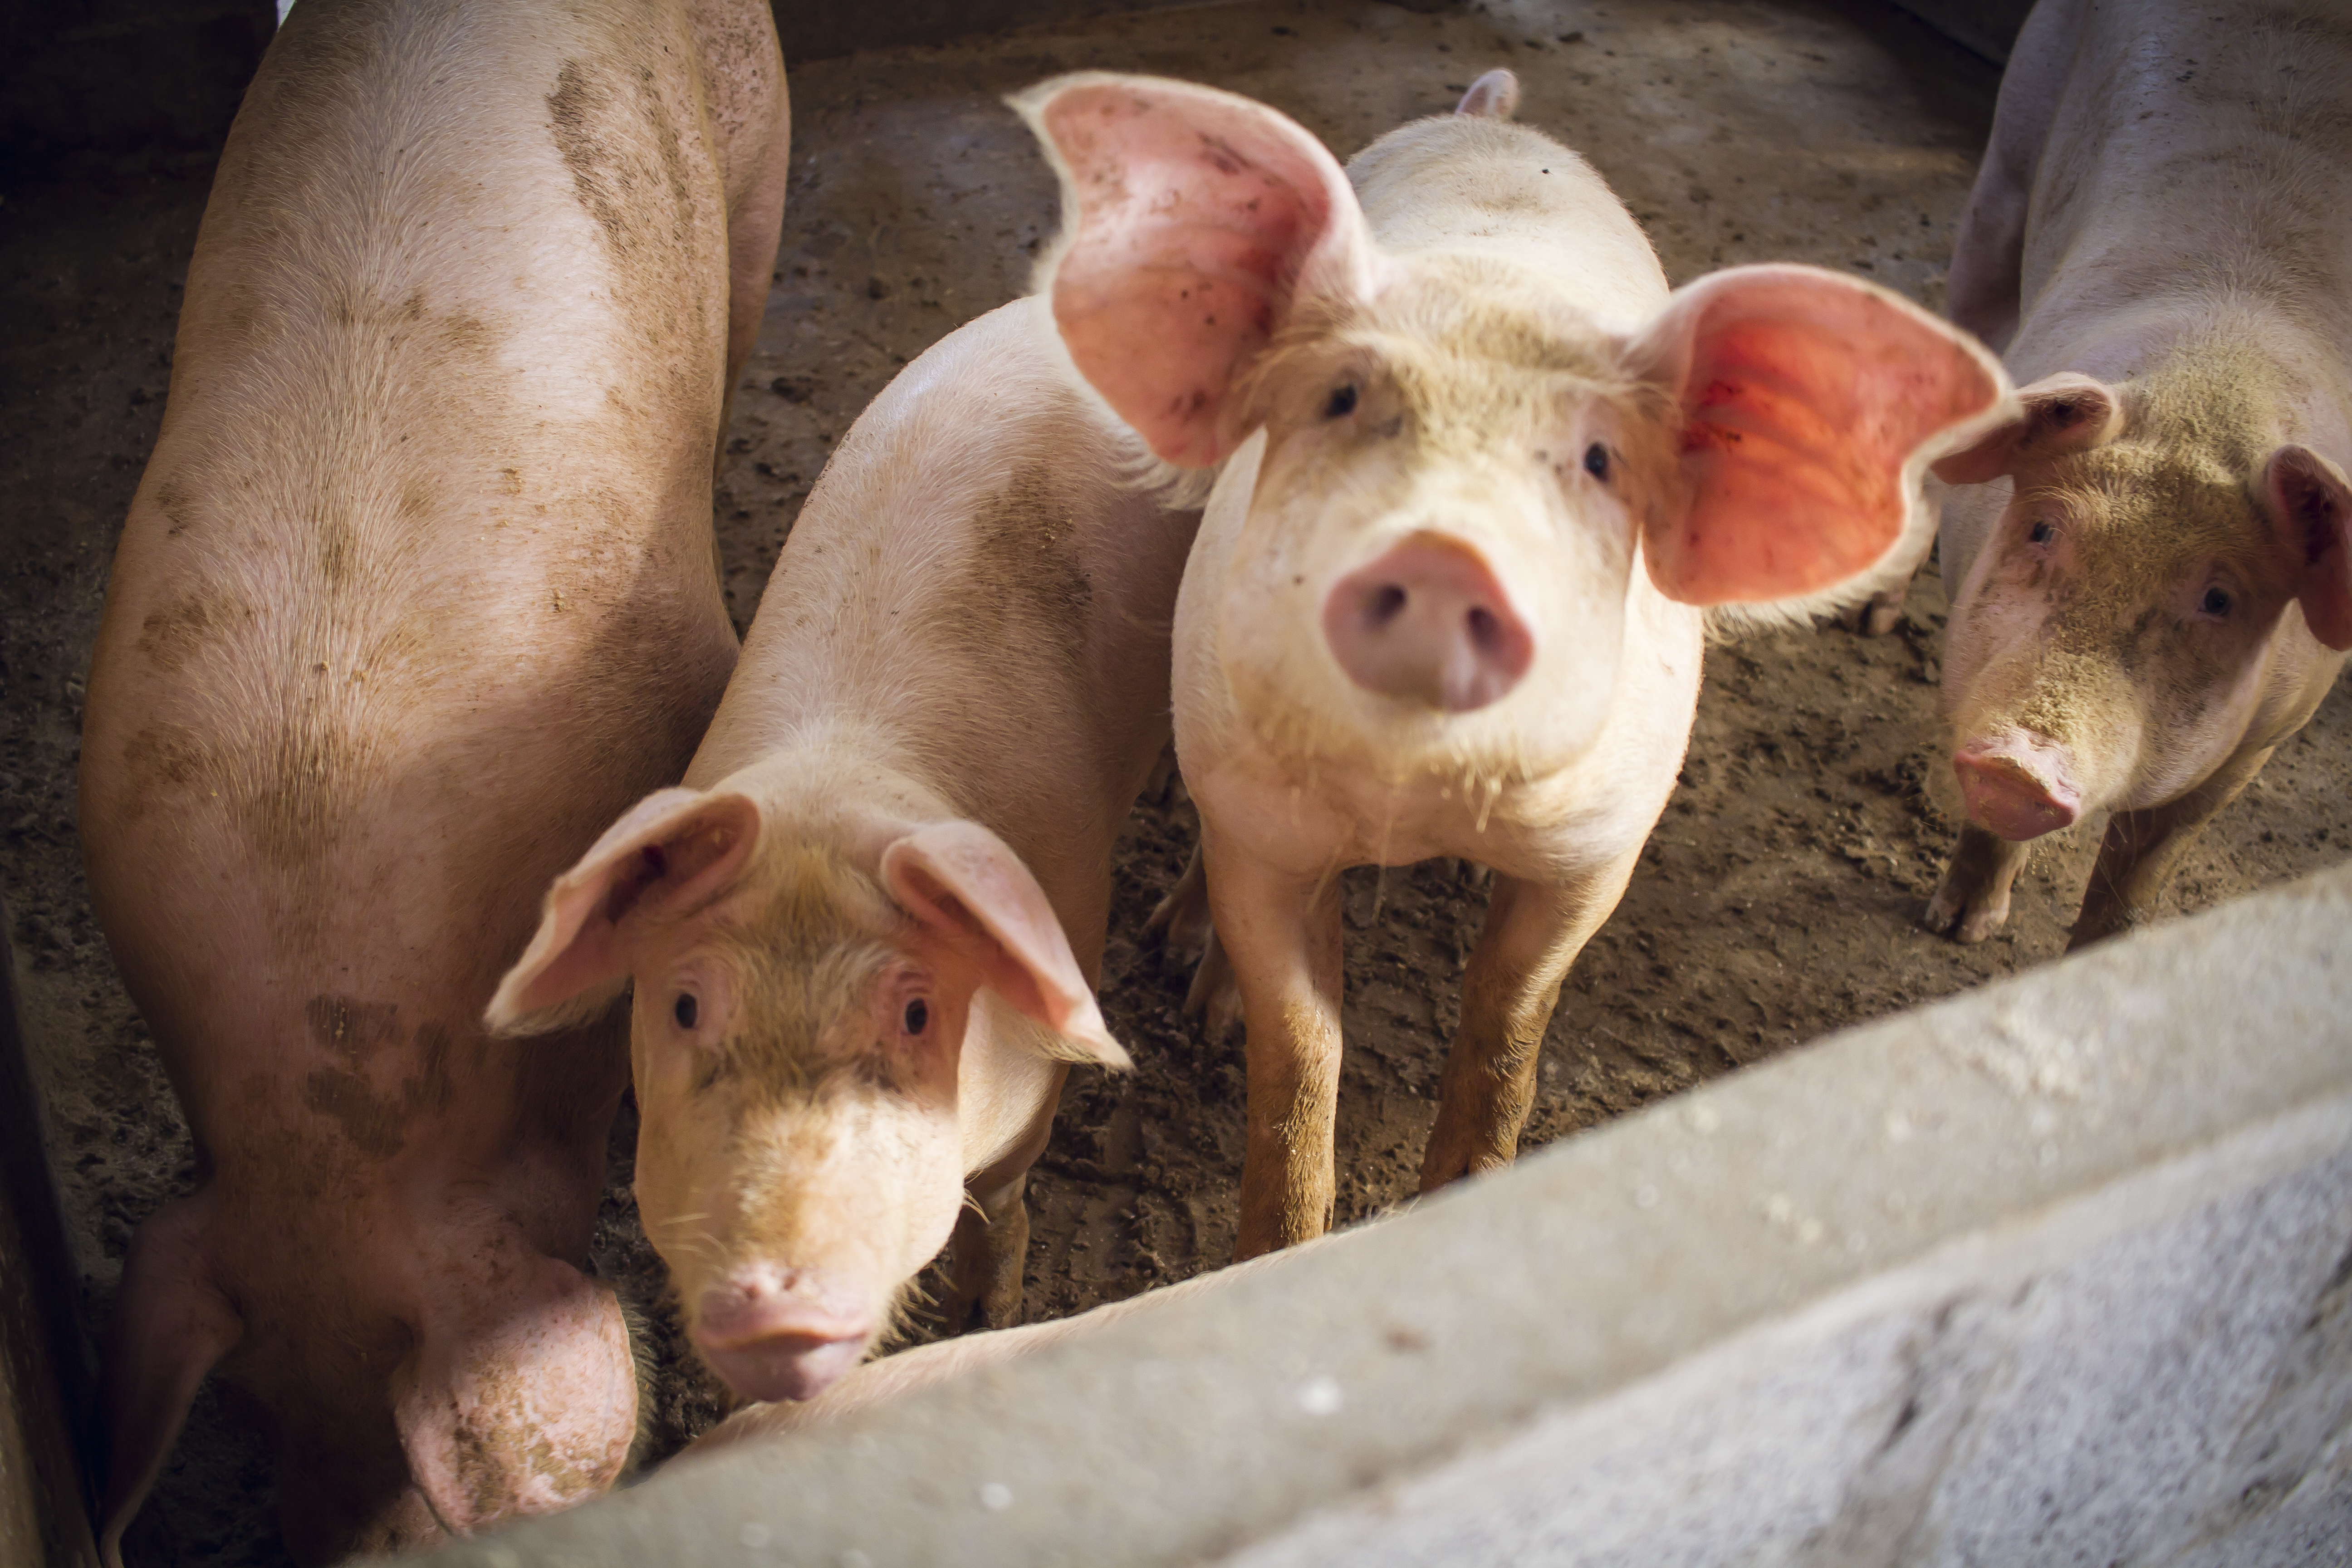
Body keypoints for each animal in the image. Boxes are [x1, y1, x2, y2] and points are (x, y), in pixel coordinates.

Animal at [489, 294, 1204, 1401]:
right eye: (684, 1005)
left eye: (916, 1013)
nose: (779, 1301)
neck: (831, 793)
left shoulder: (1035, 1094)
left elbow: (1003, 1206)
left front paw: (982, 1318)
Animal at [1011, 70, 2004, 1260]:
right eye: (1340, 398)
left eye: (1599, 460)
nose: (1444, 551)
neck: (1412, 800)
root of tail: (1492, 118)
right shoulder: (1260, 825)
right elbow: (1296, 1062)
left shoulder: (1598, 846)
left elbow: (1506, 1026)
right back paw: (1187, 975)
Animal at [1910, 0, 2352, 945]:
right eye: (2041, 528)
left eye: (2218, 599)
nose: (2019, 763)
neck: (2205, 398)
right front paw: (1956, 928)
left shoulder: (2261, 740)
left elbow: (2142, 867)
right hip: (2009, 150)